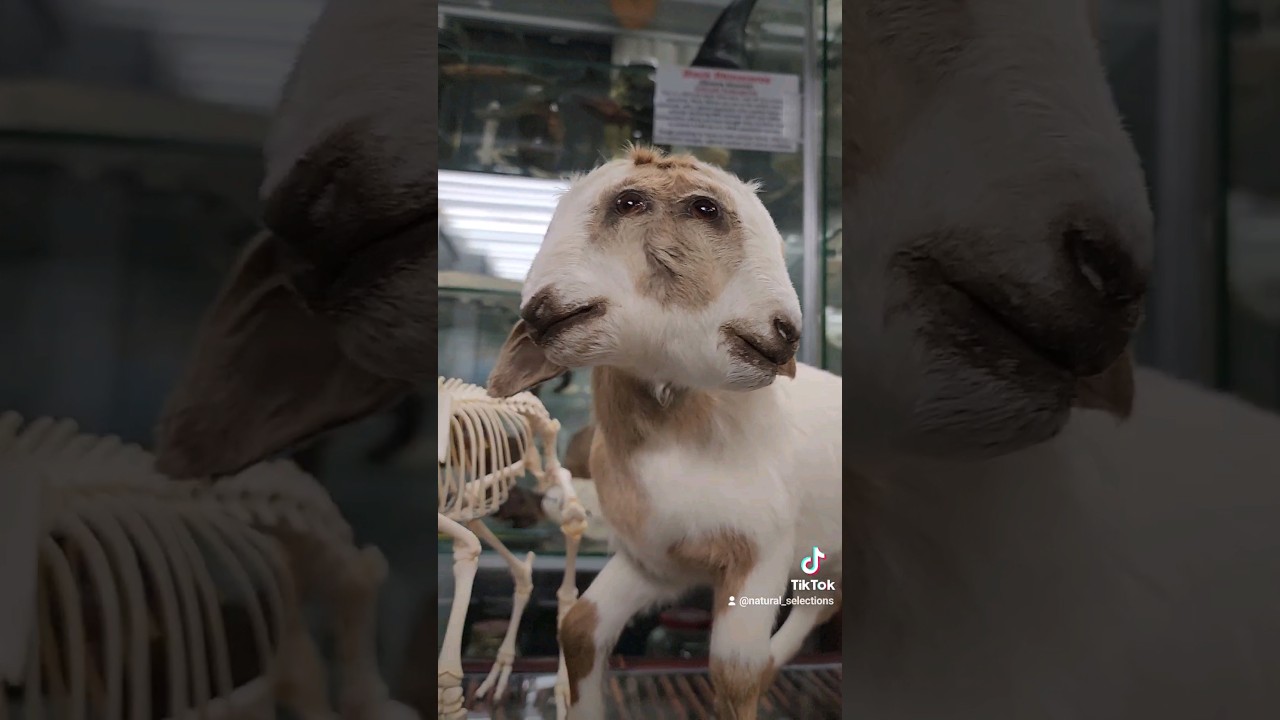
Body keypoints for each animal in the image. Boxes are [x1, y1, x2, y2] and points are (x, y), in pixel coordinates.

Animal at [485, 146, 842, 720]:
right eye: (630, 201)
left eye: (704, 207)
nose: (785, 334)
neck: (672, 447)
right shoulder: (654, 563)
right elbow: (579, 630)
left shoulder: (761, 554)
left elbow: (734, 675)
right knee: (822, 605)